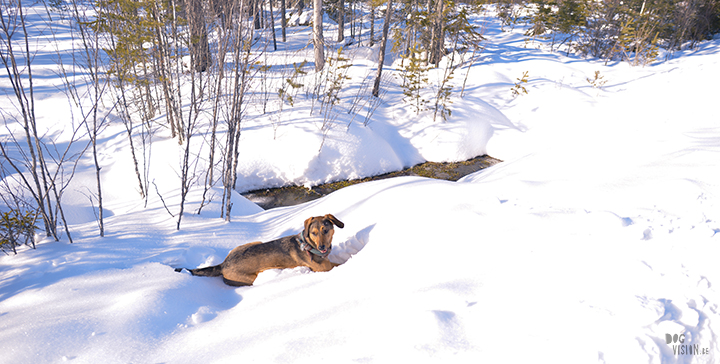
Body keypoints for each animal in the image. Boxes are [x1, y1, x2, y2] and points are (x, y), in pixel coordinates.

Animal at [174, 215, 344, 286]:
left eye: (325, 230)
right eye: (314, 233)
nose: (322, 247)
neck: (309, 245)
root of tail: (223, 264)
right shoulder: (324, 269)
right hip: (251, 277)